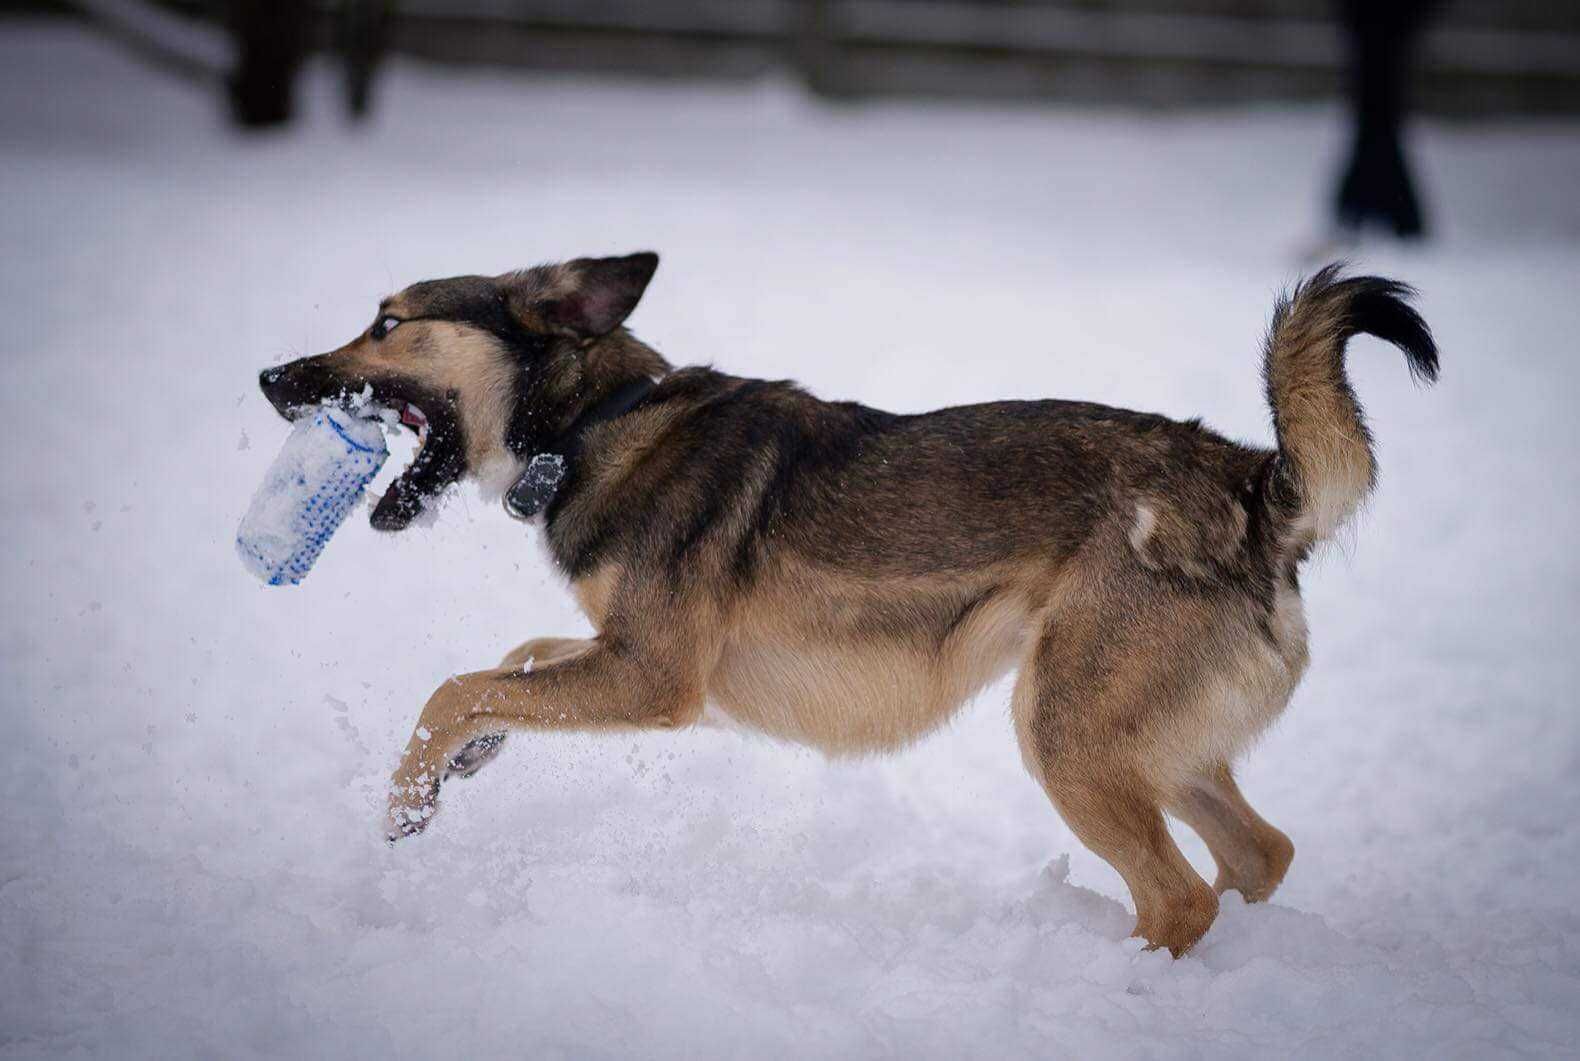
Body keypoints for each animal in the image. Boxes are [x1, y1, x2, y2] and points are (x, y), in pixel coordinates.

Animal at [262, 252, 1447, 959]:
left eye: (387, 321)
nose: (273, 378)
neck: (600, 418)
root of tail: (1251, 486)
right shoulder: (636, 657)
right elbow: (509, 660)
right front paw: (471, 759)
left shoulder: (652, 679)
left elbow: (452, 684)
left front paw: (407, 800)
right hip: (1149, 740)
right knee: (1259, 855)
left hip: (1062, 731)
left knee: (1182, 896)